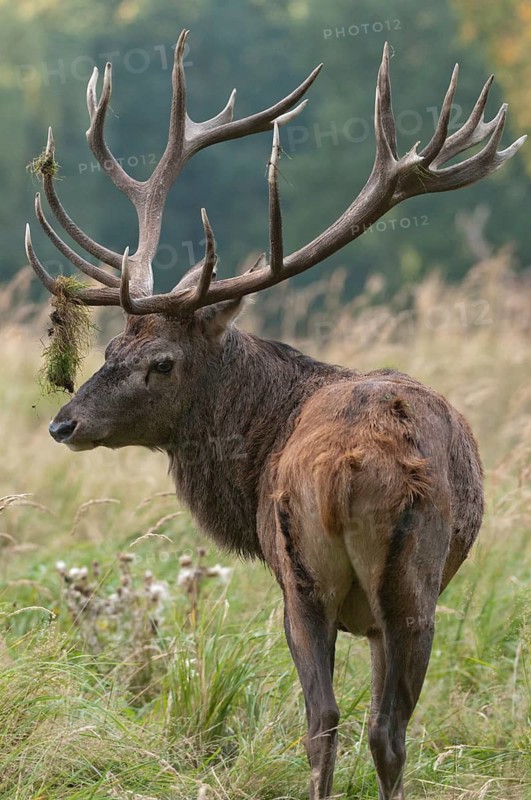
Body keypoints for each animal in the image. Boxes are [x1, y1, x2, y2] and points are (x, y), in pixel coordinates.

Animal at [25, 30, 524, 800]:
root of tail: (350, 467)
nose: (63, 423)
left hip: (322, 583)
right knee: (367, 726)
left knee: (336, 720)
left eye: (159, 361)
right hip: (383, 584)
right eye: (108, 346)